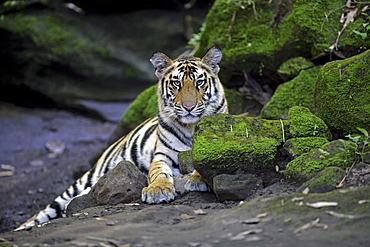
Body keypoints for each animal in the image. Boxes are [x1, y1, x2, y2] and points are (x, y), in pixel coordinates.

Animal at [15, 46, 227, 232]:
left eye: (199, 82)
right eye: (177, 83)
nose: (189, 107)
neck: (190, 127)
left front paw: (197, 179)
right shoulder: (162, 155)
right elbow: (158, 173)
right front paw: (157, 190)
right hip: (85, 178)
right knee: (45, 211)